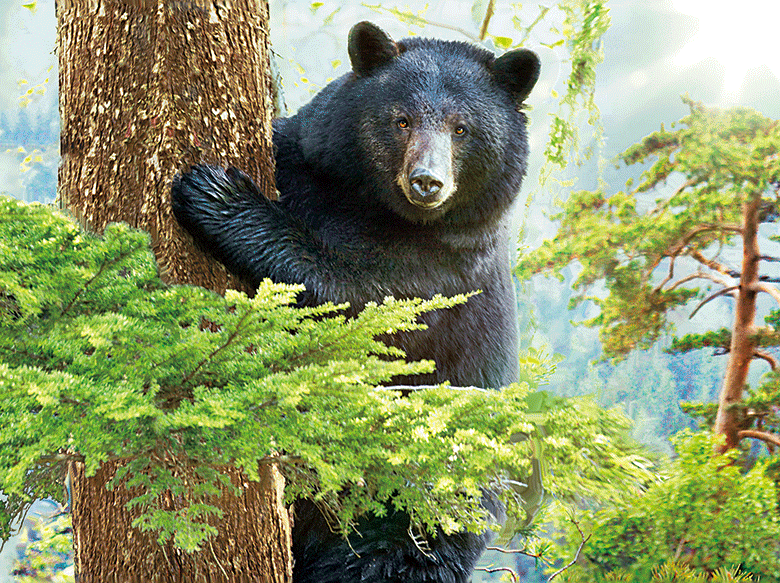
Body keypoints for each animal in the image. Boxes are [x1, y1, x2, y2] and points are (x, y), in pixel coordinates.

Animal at [172, 21, 540, 583]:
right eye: (402, 120)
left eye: (462, 129)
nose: (427, 182)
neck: (377, 211)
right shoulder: (305, 163)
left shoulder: (444, 269)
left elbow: (353, 304)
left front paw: (216, 195)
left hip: (420, 505)